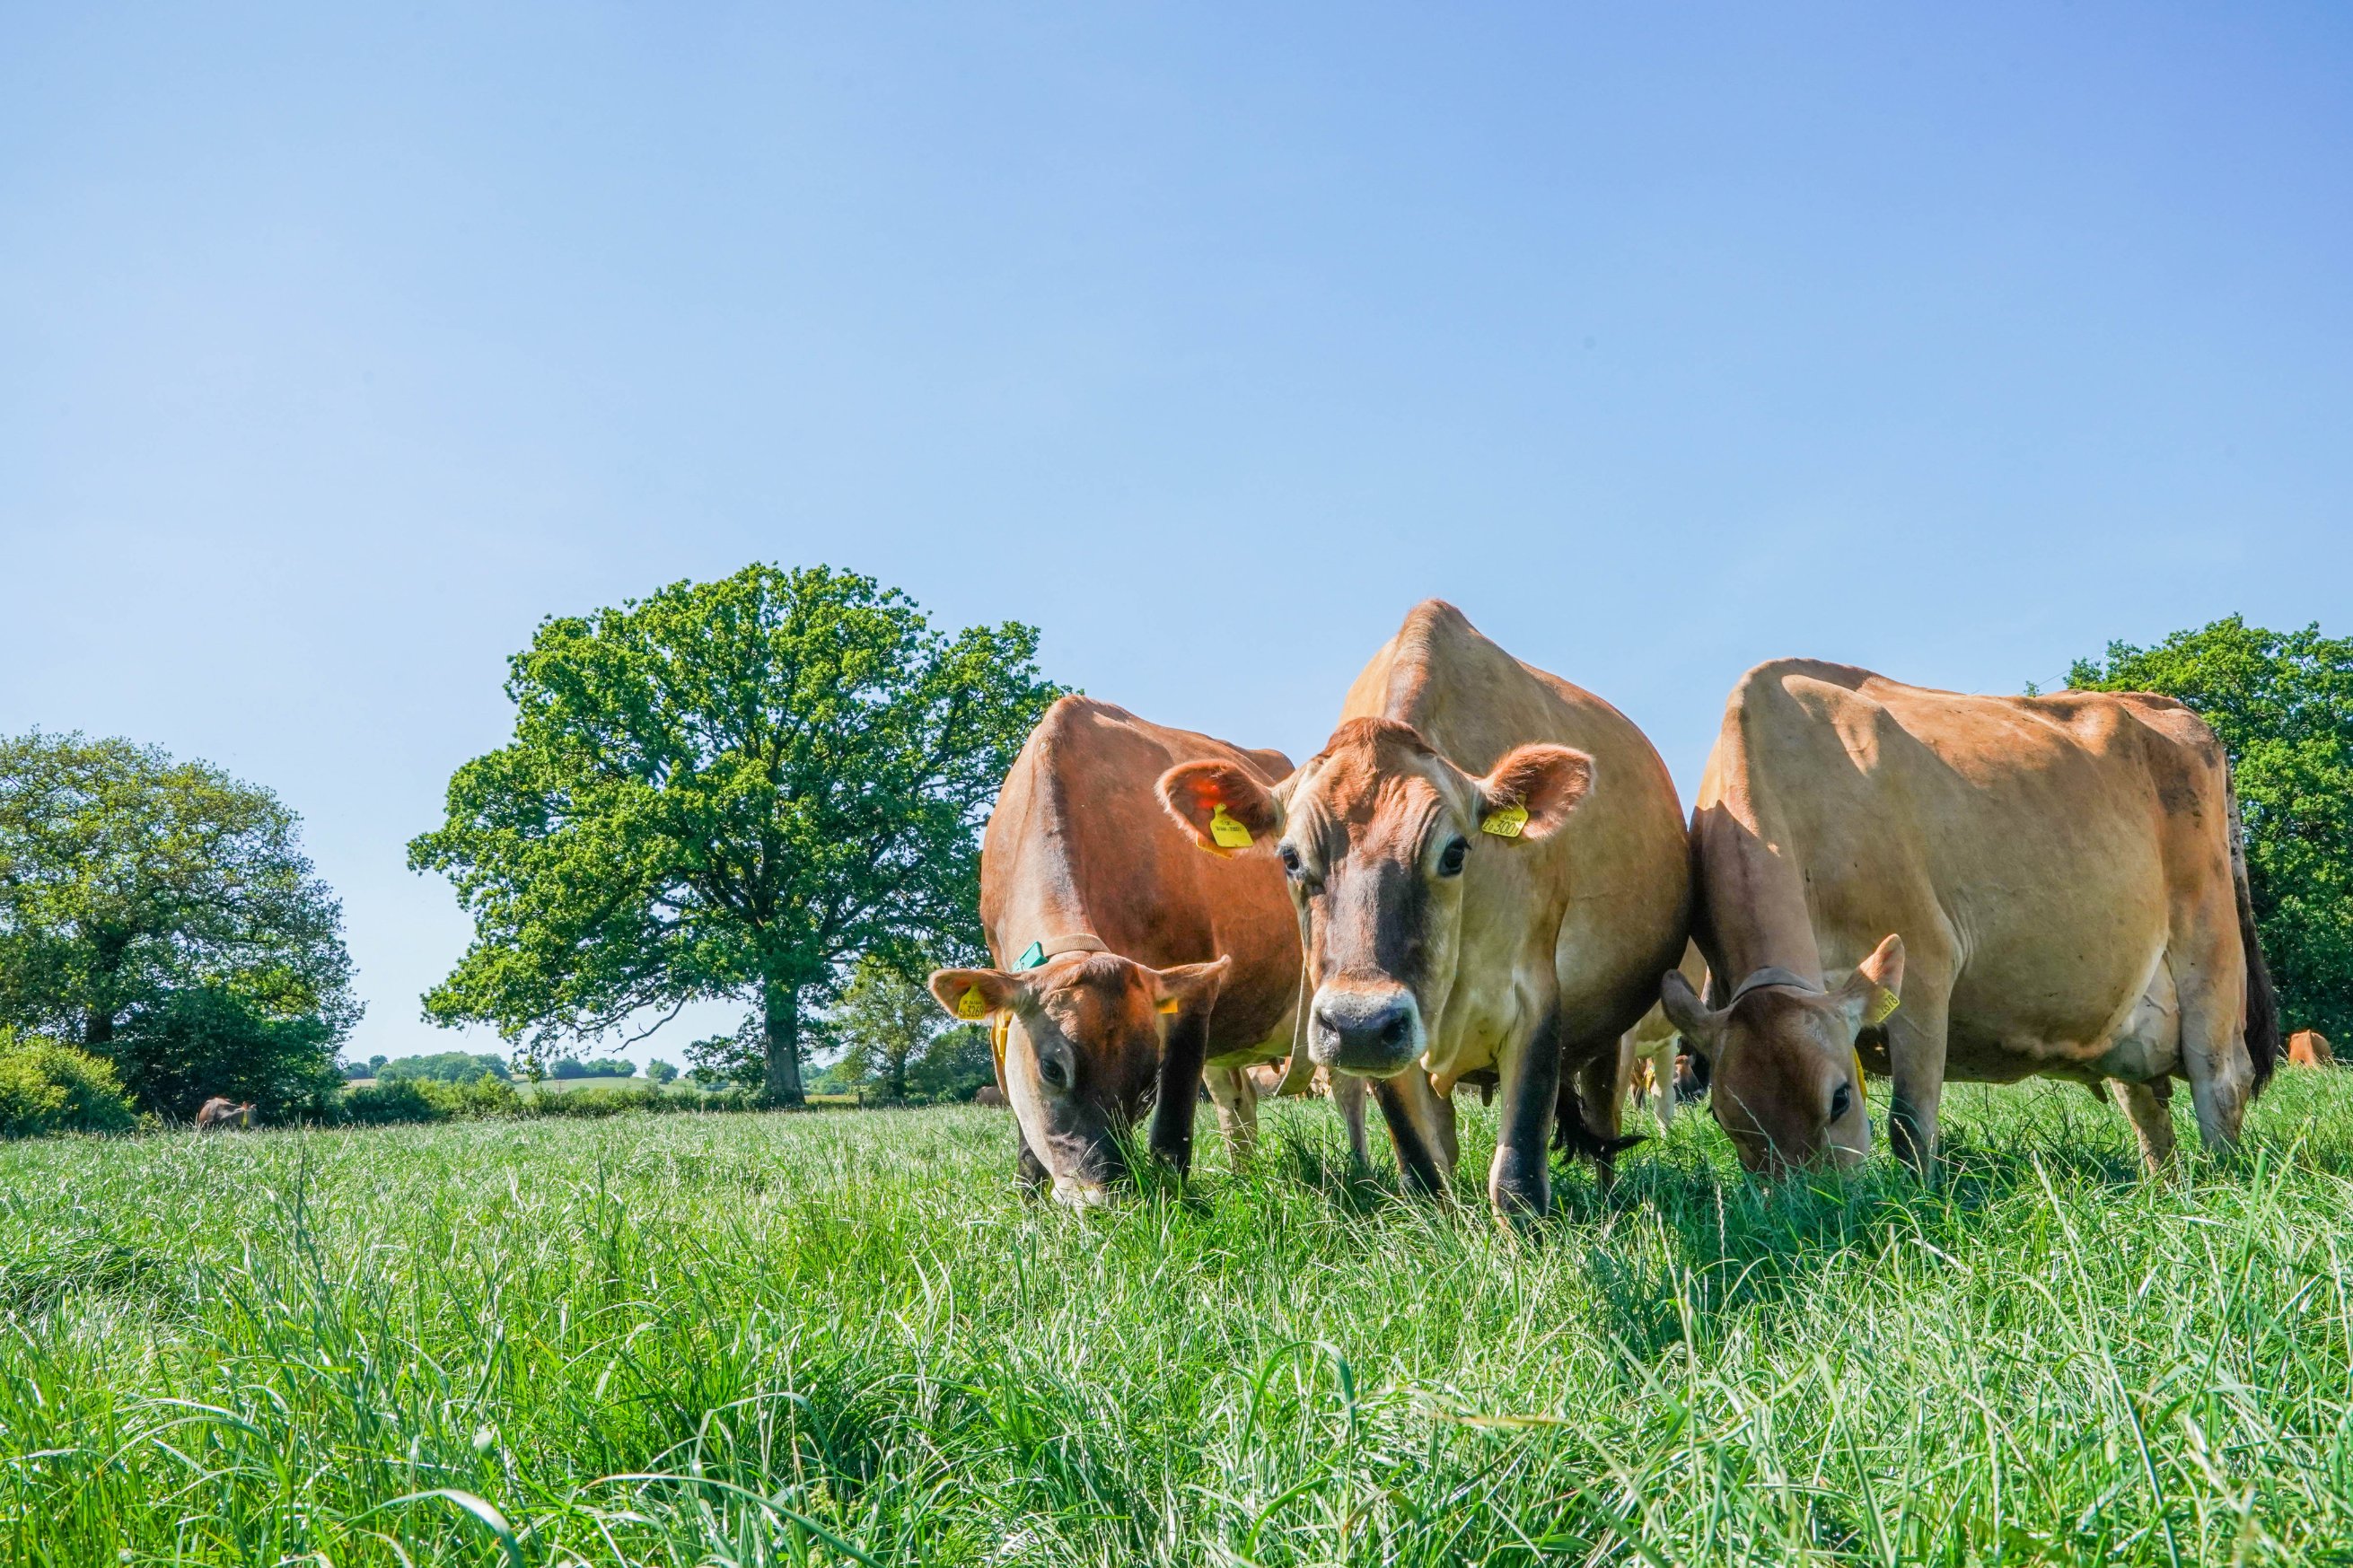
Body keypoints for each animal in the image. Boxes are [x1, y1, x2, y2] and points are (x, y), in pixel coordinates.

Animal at [928, 696, 1368, 1207]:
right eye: (1052, 1069)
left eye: (1145, 1077)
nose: (1101, 1198)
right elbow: (1026, 1131)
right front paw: (1029, 1202)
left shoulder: (1194, 988)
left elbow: (1172, 1123)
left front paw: (1169, 1201)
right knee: (1236, 1100)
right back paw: (1244, 1175)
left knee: (1348, 1088)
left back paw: (1363, 1176)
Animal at [1159, 600, 1691, 1223]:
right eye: (1289, 857)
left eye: (1456, 850)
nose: (1359, 1025)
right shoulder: (1387, 1042)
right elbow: (1422, 1166)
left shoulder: (1536, 999)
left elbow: (1517, 1175)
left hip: (1614, 1031)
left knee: (1605, 1121)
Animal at [1664, 659, 2278, 1177]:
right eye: (1723, 1117)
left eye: (1839, 1098)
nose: (1812, 1211)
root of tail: (2166, 706)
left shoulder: (1925, 964)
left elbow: (1911, 1125)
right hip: (2127, 1001)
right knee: (2145, 1097)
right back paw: (2164, 1188)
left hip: (2210, 946)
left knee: (2220, 1080)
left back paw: (2218, 1188)